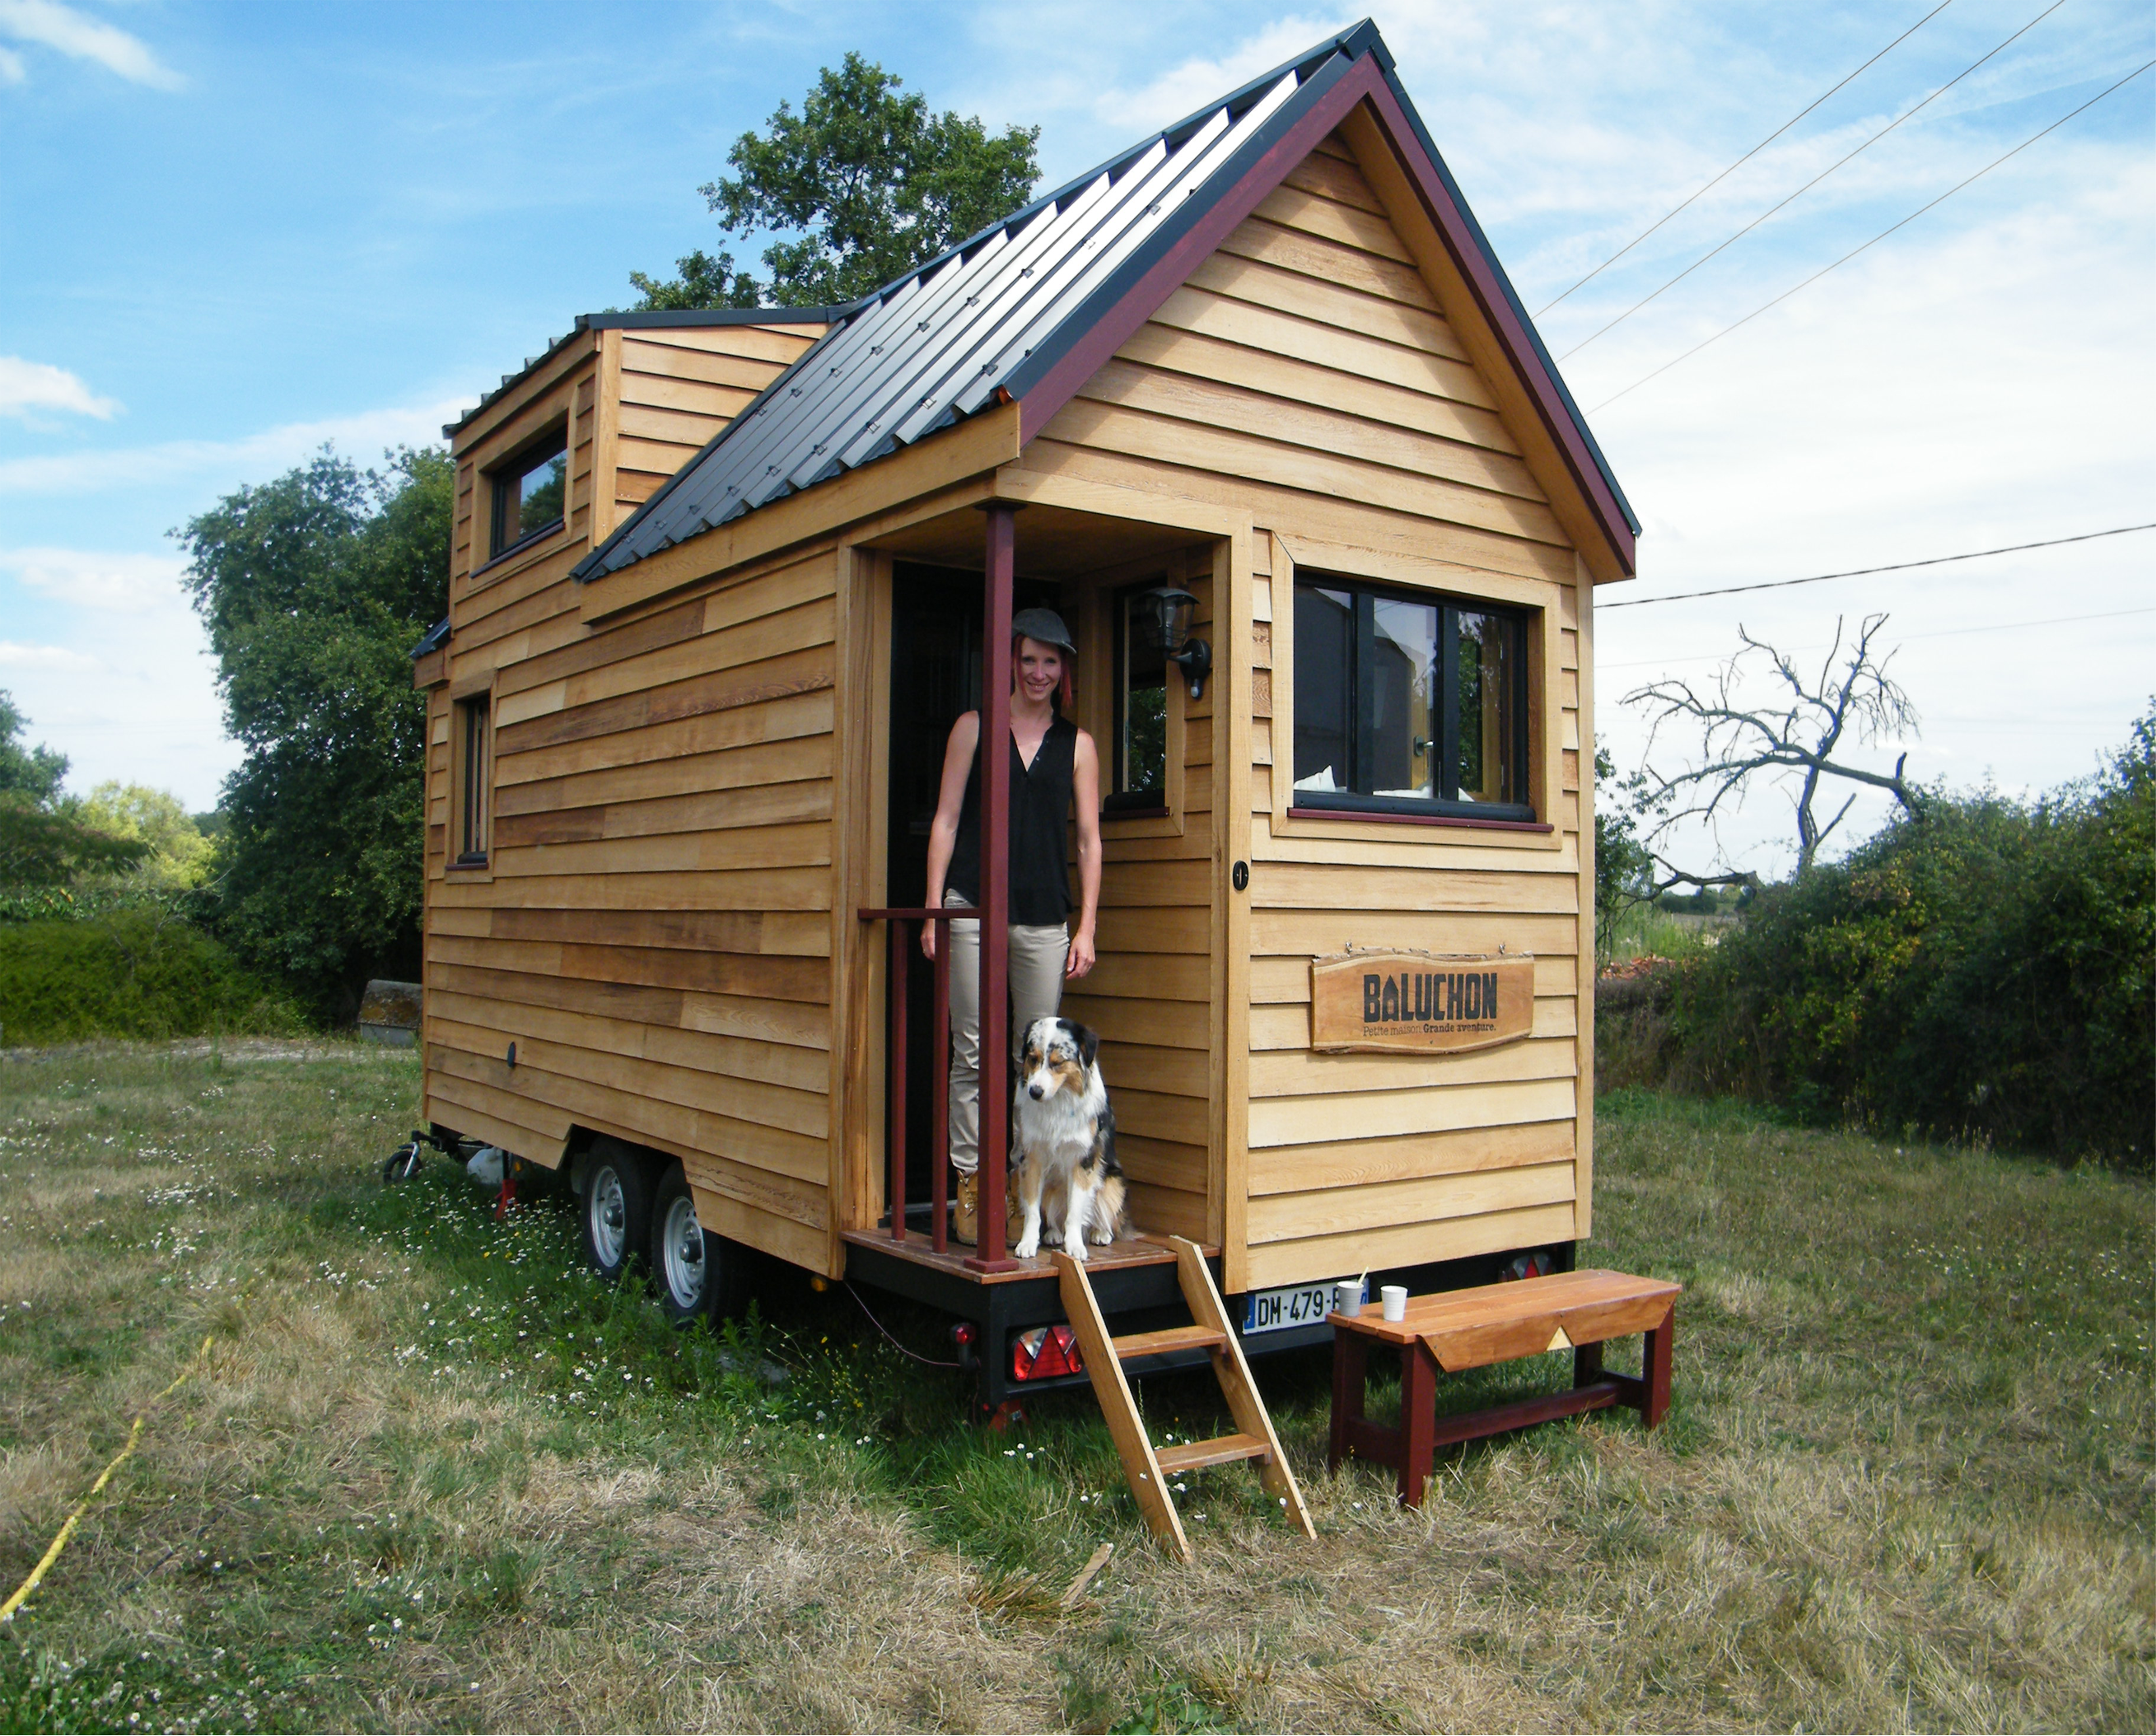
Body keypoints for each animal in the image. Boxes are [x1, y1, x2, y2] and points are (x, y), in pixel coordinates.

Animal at [1013, 1017, 1138, 1259]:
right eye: (1033, 1059)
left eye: (1058, 1063)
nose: (1035, 1092)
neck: (1058, 1101)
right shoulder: (1031, 1158)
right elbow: (1033, 1210)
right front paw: (1027, 1243)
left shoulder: (1083, 1160)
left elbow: (1075, 1211)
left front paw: (1075, 1246)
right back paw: (1053, 1233)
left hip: (1113, 1182)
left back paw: (1100, 1233)